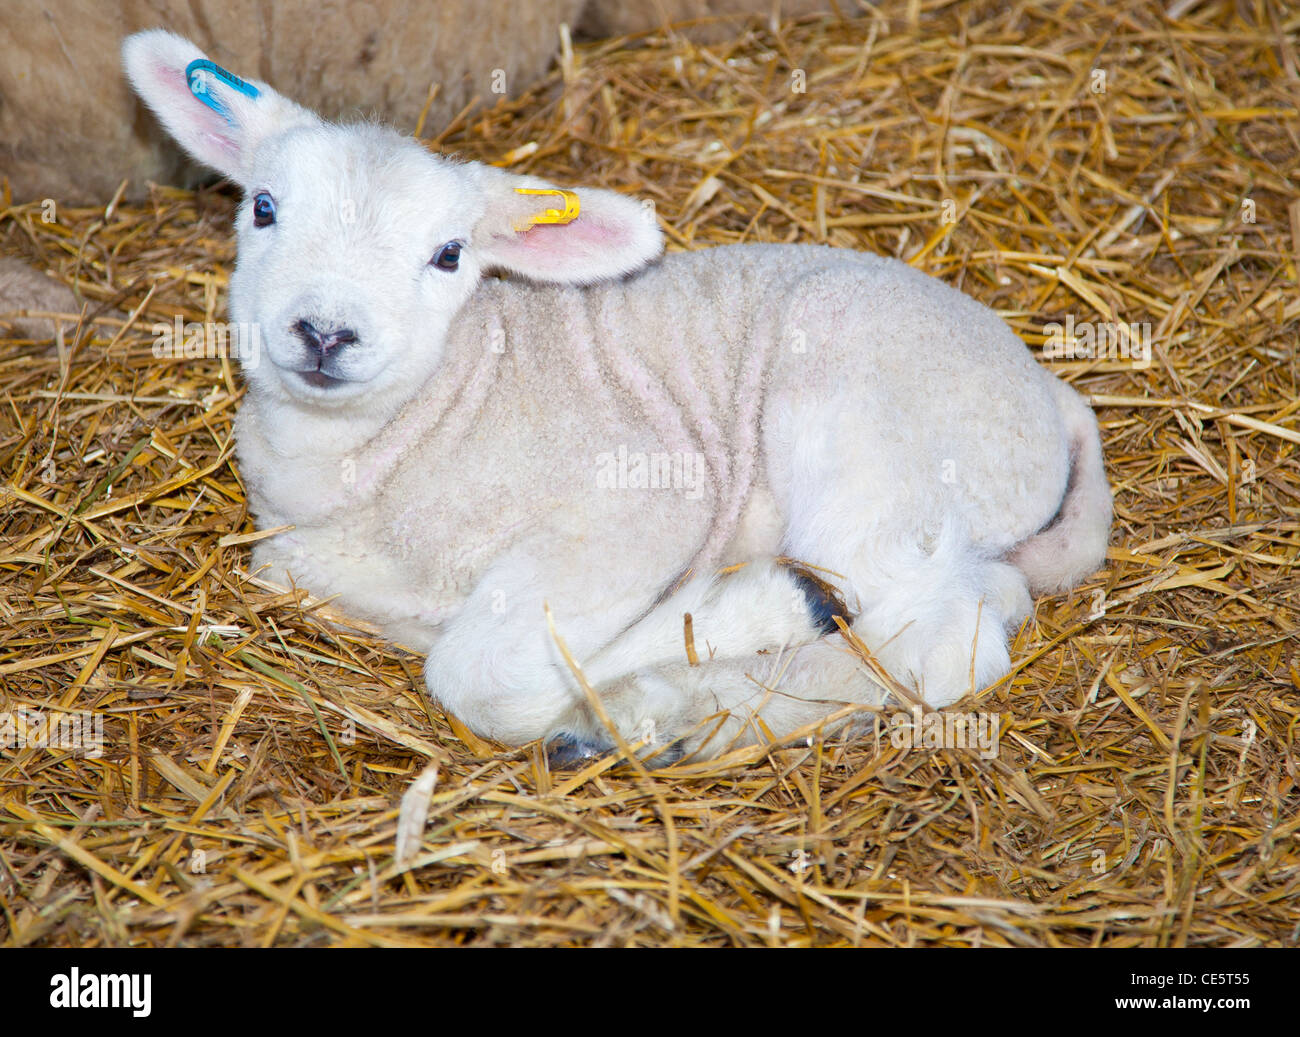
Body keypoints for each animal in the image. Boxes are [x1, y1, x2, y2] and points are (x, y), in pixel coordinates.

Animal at [122, 30, 1112, 765]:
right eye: (263, 207)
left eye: (448, 254)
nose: (325, 332)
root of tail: (1046, 390)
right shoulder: (295, 565)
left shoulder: (643, 498)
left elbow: (478, 672)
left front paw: (740, 618)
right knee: (980, 599)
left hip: (872, 446)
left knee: (943, 639)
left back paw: (679, 709)